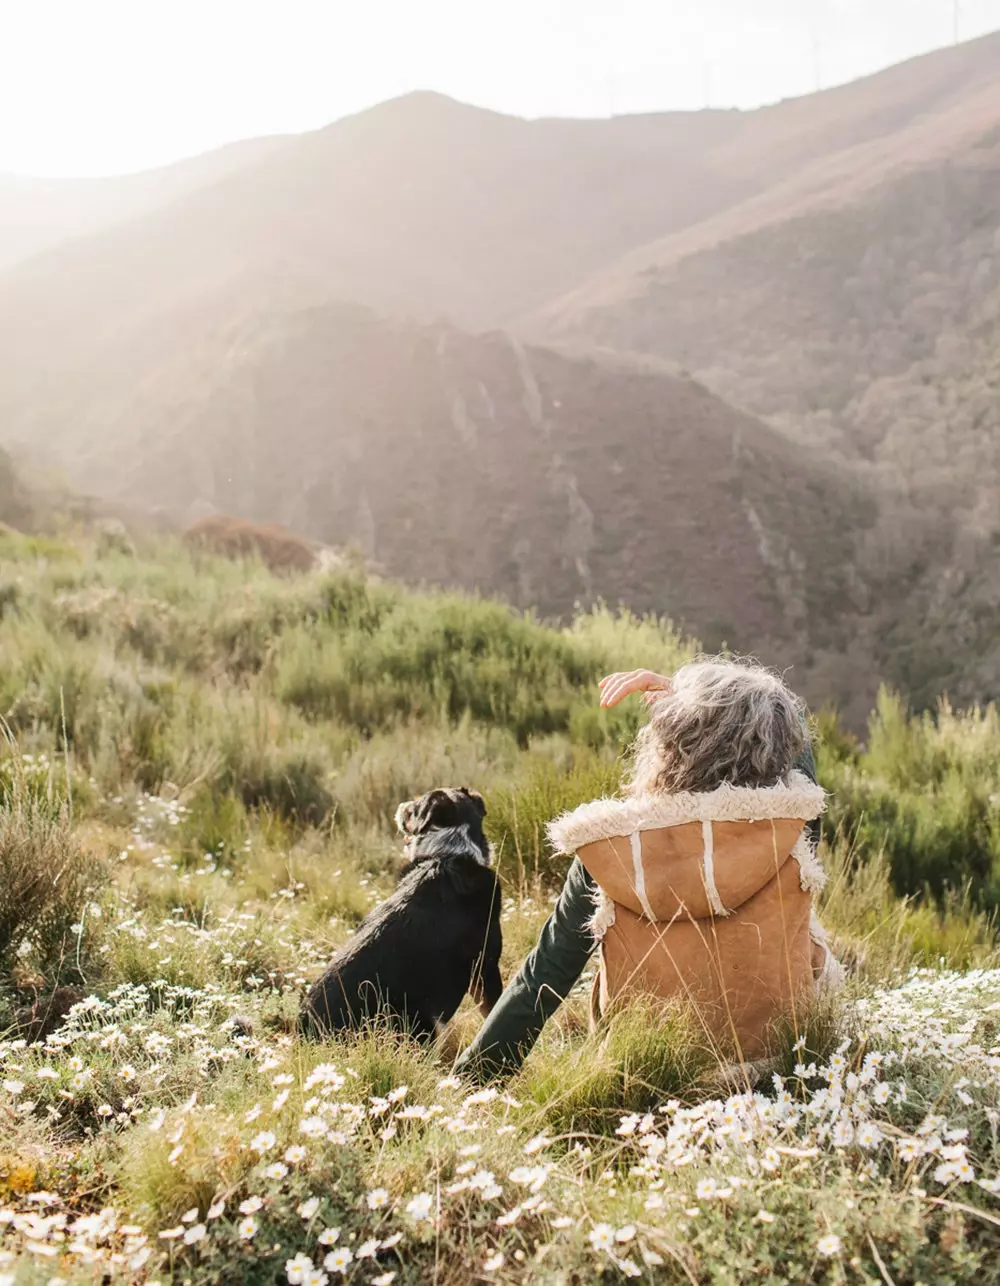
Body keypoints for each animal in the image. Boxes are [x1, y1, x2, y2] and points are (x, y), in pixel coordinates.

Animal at [294, 781, 498, 1044]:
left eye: (415, 806)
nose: (401, 806)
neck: (450, 853)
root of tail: (307, 1029)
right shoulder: (486, 967)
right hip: (421, 1021)